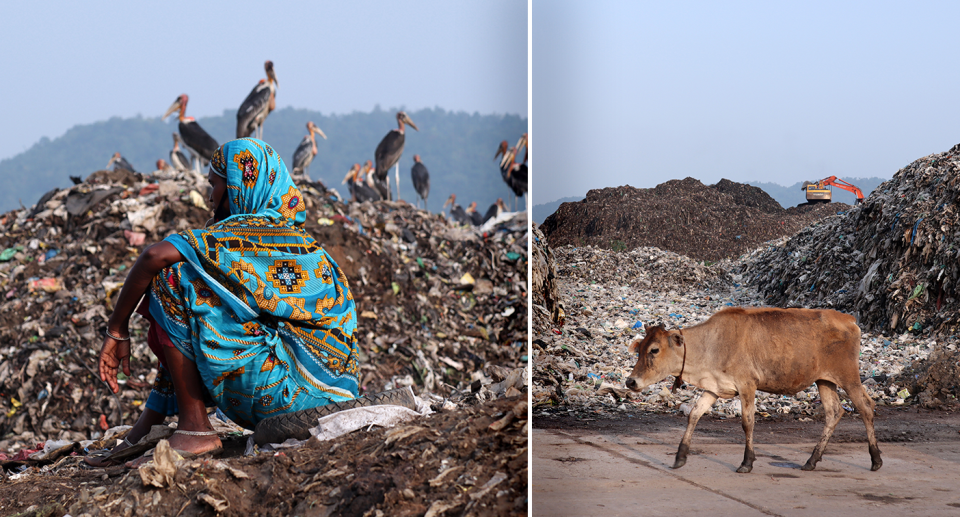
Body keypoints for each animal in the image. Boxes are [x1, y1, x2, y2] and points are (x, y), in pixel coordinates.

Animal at [628, 306, 880, 472]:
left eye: (654, 350)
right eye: (639, 349)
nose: (630, 382)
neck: (711, 345)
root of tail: (848, 318)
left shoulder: (747, 385)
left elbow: (747, 422)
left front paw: (746, 462)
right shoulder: (714, 387)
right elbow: (694, 415)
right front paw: (680, 457)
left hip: (849, 377)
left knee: (866, 407)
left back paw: (876, 459)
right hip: (824, 381)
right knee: (834, 412)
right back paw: (811, 461)